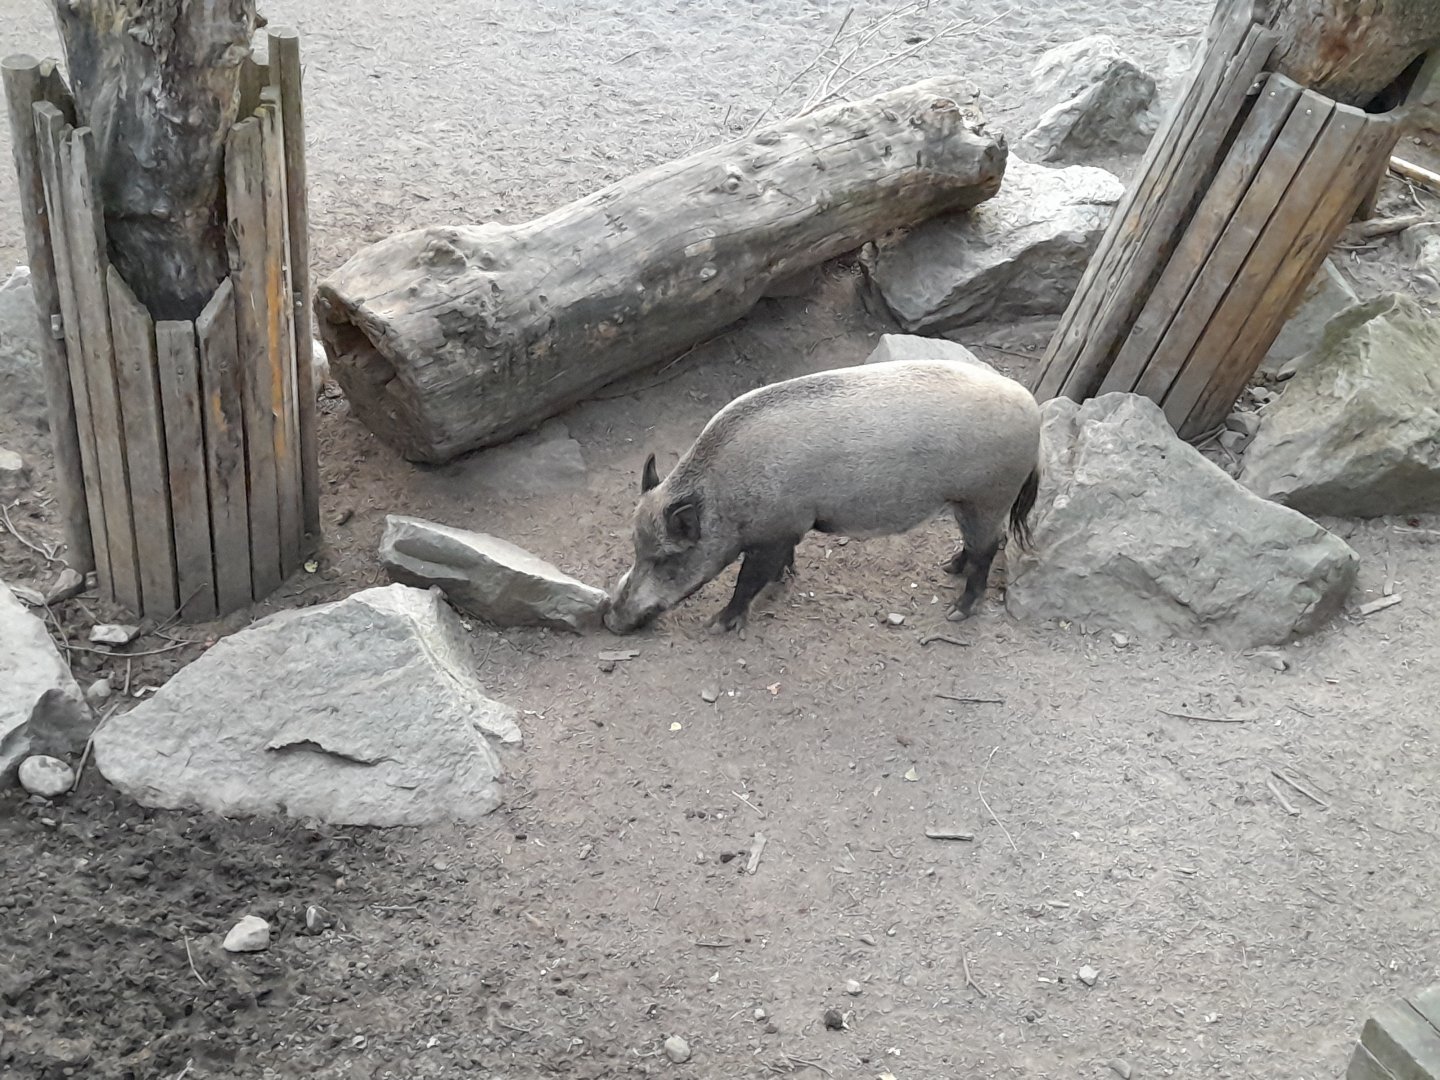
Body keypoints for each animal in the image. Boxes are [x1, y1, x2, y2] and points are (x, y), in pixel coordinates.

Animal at [602, 358, 1042, 635]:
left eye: (666, 560)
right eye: (635, 548)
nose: (610, 619)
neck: (725, 495)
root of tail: (1033, 409)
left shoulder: (775, 530)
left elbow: (747, 579)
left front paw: (717, 626)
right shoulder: (788, 529)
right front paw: (784, 581)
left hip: (988, 496)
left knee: (990, 547)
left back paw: (956, 612)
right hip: (969, 502)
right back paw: (948, 567)